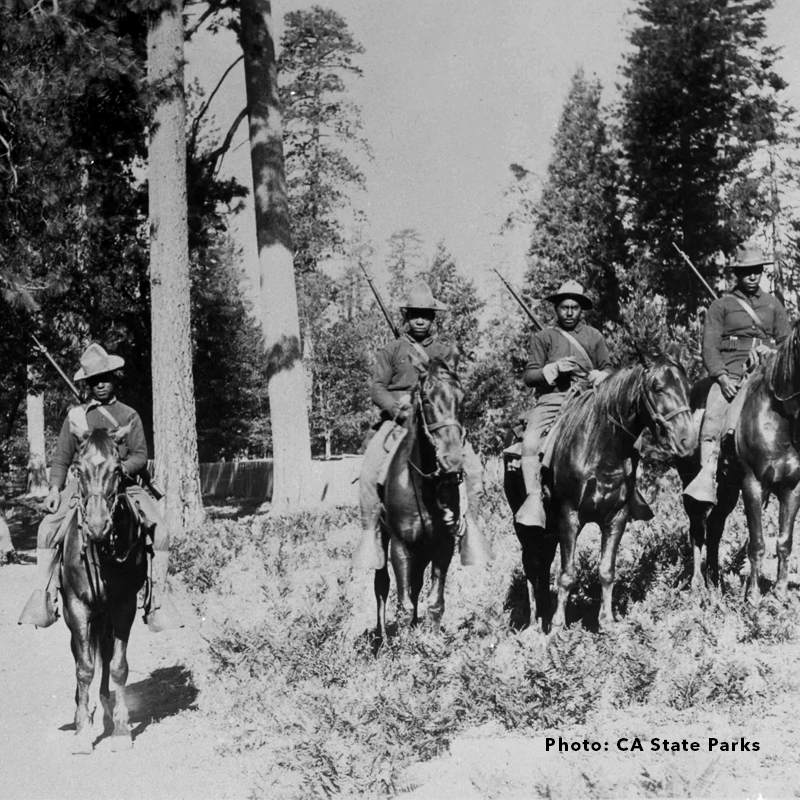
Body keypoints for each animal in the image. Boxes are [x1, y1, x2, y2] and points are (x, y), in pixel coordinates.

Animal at [60, 428, 147, 752]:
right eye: (79, 470)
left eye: (117, 470)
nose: (97, 526)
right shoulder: (77, 607)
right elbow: (84, 667)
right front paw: (83, 731)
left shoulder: (124, 606)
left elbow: (118, 665)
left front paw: (121, 729)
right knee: (79, 654)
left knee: (107, 655)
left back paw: (106, 706)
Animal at [376, 356, 468, 636]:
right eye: (426, 400)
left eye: (462, 397)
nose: (452, 461)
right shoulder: (400, 545)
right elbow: (404, 605)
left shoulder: (443, 544)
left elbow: (435, 602)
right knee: (381, 584)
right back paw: (382, 639)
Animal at [506, 344, 700, 632]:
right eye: (657, 387)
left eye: (687, 386)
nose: (687, 441)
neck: (601, 448)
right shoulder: (569, 516)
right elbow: (567, 574)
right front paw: (558, 627)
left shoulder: (616, 516)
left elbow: (607, 570)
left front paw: (607, 622)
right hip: (527, 528)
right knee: (531, 565)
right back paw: (533, 623)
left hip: (550, 530)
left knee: (542, 566)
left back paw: (543, 614)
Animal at [680, 318, 800, 600]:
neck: (778, 418)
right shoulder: (753, 485)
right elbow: (757, 543)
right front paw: (753, 596)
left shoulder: (792, 488)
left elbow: (784, 542)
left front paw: (780, 593)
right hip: (694, 486)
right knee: (697, 529)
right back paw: (698, 583)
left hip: (727, 491)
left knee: (714, 528)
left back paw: (715, 580)